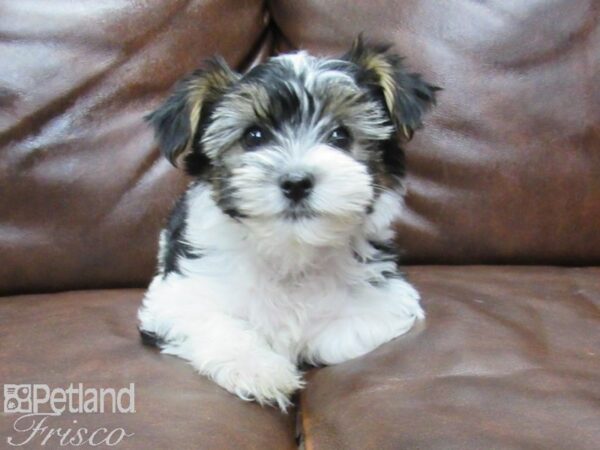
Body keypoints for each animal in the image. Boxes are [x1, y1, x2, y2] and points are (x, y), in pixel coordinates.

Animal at [138, 38, 438, 412]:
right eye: (254, 136)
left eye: (340, 135)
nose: (296, 182)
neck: (291, 250)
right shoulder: (174, 299)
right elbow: (215, 324)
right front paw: (261, 370)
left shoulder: (390, 301)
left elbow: (334, 335)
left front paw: (293, 343)